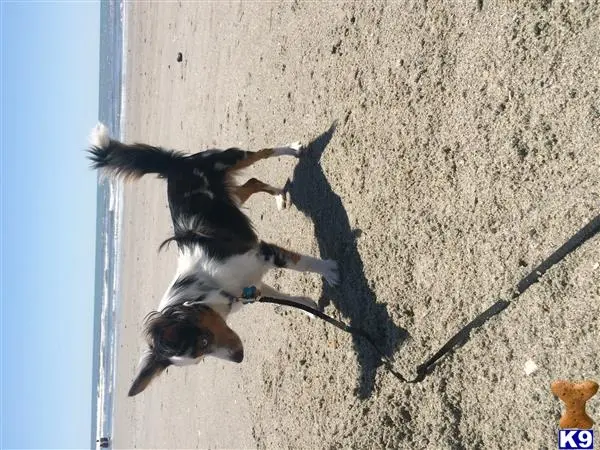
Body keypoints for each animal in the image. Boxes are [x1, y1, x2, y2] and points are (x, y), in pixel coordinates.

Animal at [87, 125, 340, 396]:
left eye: (204, 341)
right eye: (201, 357)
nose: (239, 358)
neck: (211, 288)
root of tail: (172, 166)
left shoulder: (263, 254)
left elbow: (304, 264)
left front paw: (330, 271)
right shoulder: (252, 284)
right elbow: (283, 297)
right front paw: (310, 307)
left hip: (228, 159)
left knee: (262, 153)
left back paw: (292, 150)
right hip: (231, 197)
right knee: (251, 183)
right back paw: (280, 196)